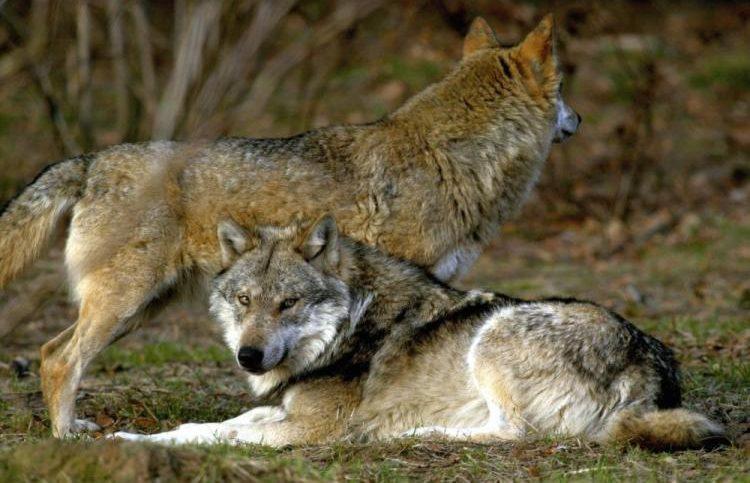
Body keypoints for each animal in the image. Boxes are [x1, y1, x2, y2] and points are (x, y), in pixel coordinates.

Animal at [0, 15, 579, 437]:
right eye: (564, 91)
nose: (577, 119)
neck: (450, 158)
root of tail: (91, 159)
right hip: (123, 304)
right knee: (59, 360)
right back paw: (65, 437)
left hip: (141, 309)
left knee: (50, 352)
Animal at [114, 216, 726, 450]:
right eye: (244, 301)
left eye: (288, 303)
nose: (249, 356)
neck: (349, 326)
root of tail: (652, 367)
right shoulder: (282, 408)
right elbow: (212, 424)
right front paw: (129, 436)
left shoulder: (310, 430)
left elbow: (225, 436)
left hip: (493, 337)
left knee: (515, 433)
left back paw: (413, 433)